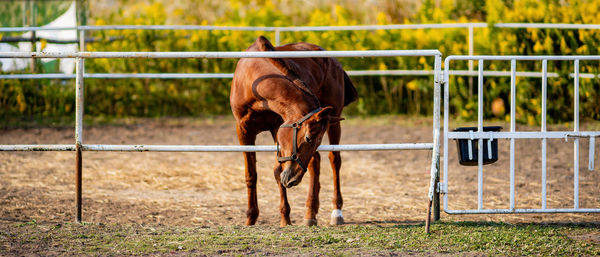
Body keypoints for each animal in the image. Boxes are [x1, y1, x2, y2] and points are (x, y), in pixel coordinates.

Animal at [230, 36, 356, 226]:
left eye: (316, 141)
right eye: (309, 139)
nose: (294, 179)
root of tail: (332, 59)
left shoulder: (278, 127)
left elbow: (277, 171)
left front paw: (285, 218)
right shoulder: (244, 131)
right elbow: (251, 174)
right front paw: (251, 218)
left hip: (334, 121)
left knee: (334, 160)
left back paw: (335, 211)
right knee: (316, 162)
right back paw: (311, 212)